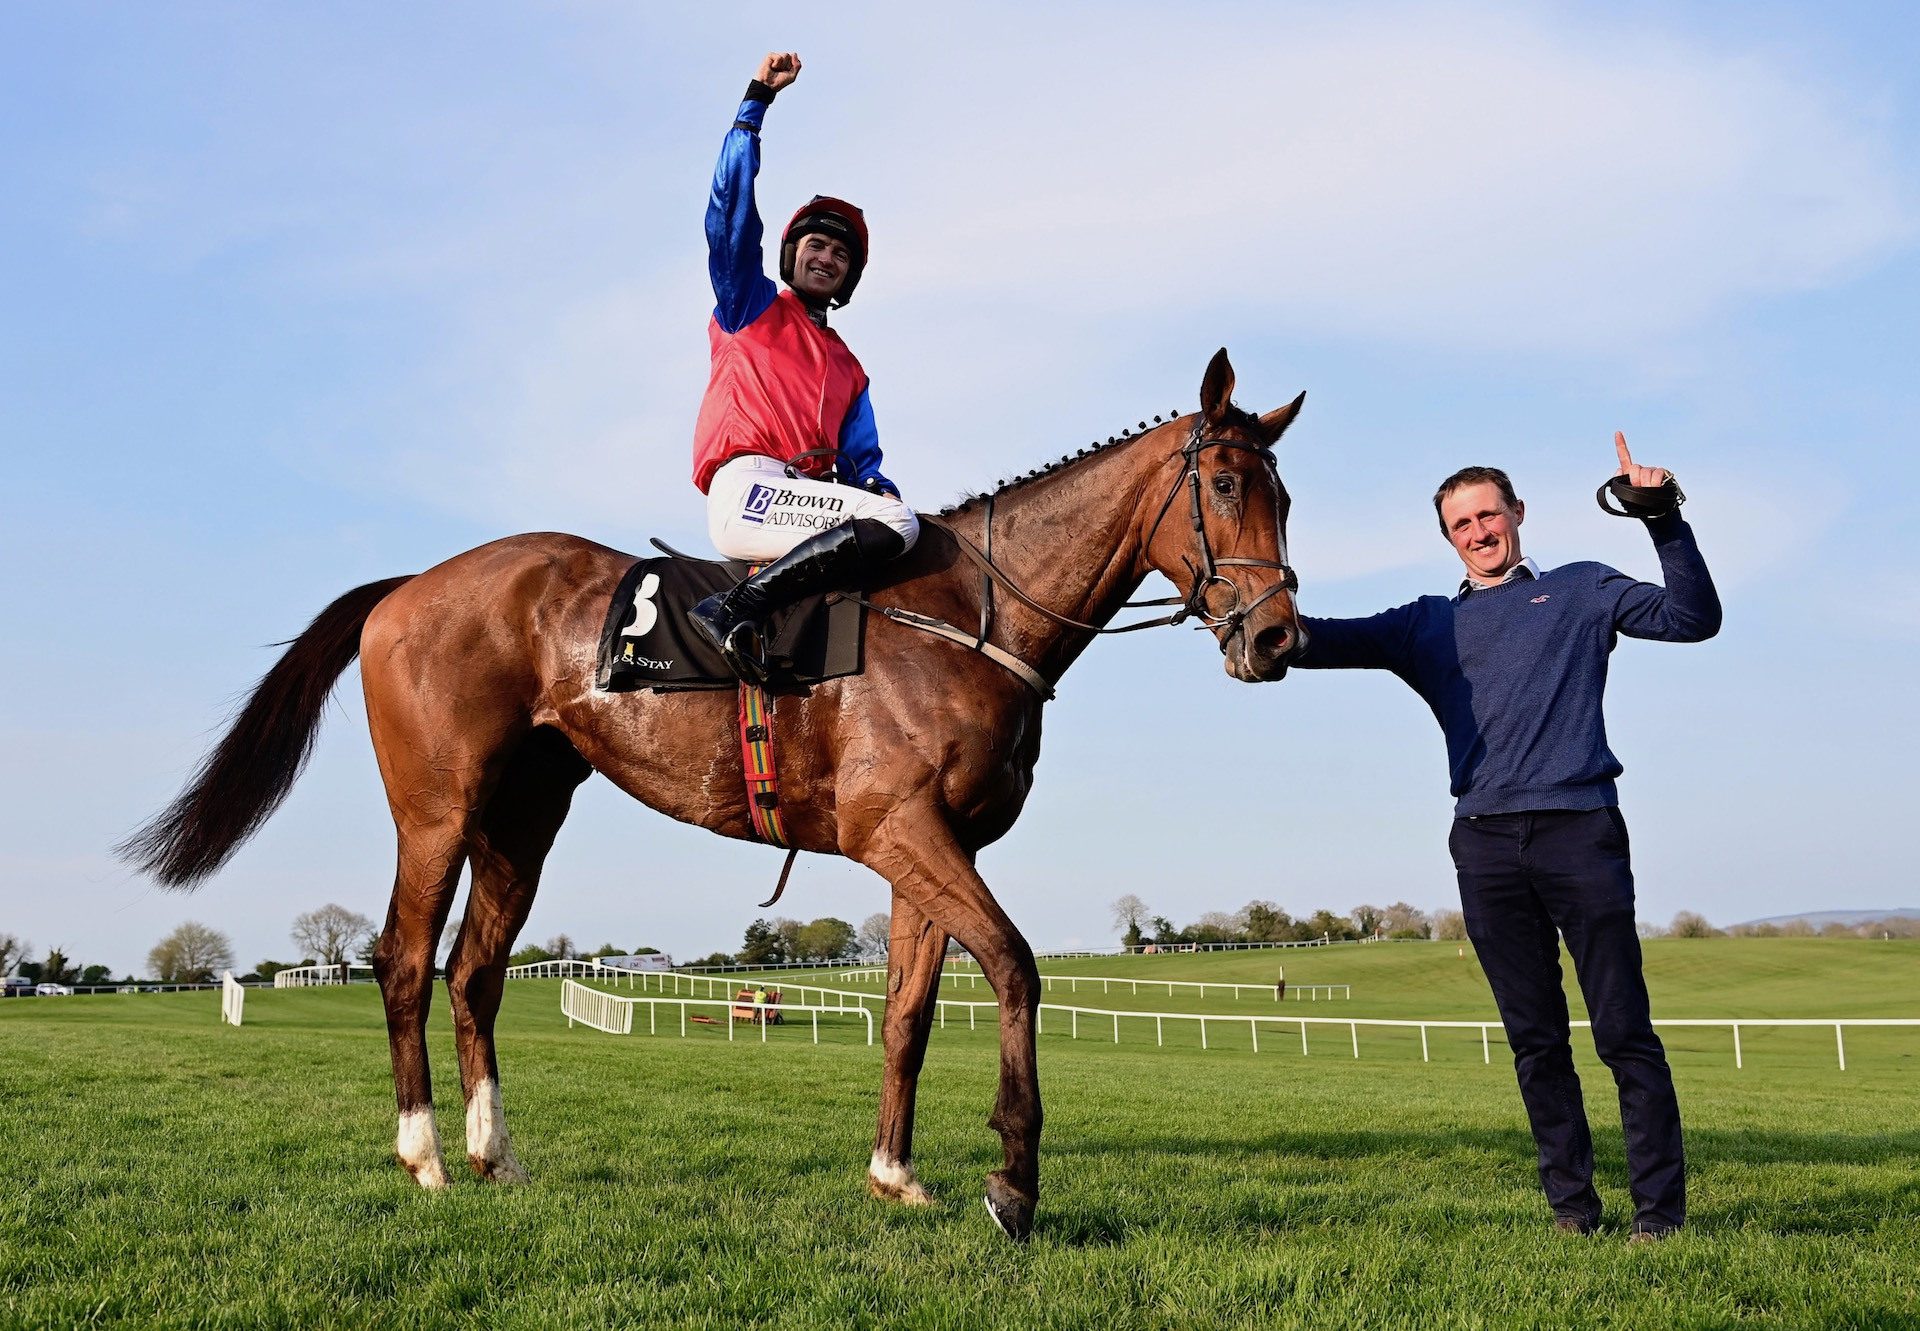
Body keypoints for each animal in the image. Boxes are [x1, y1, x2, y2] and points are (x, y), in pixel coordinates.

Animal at [120, 347, 1305, 1244]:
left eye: (1286, 495)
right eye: (1227, 488)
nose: (1277, 638)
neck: (966, 617)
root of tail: (407, 587)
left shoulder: (930, 848)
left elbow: (909, 1014)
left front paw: (896, 1172)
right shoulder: (900, 831)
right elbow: (1015, 968)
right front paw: (1013, 1184)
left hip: (522, 822)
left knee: (475, 973)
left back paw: (495, 1153)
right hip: (438, 812)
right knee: (405, 959)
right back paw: (424, 1155)